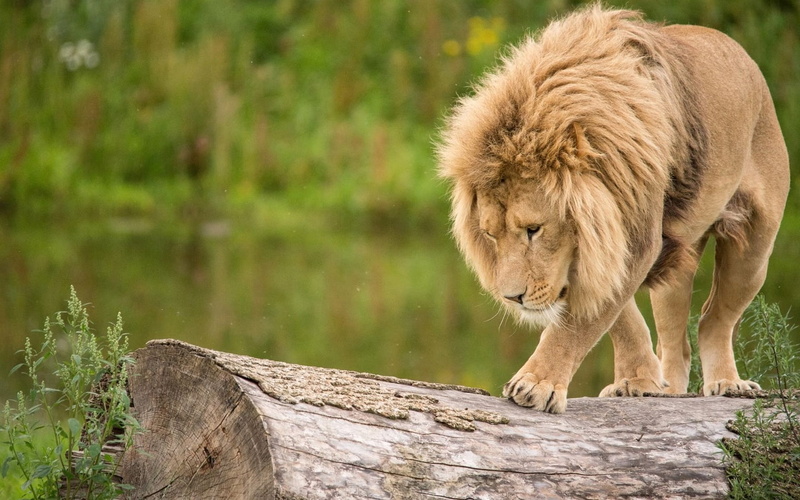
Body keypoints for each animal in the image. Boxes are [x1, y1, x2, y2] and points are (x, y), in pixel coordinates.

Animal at [437, 5, 789, 413]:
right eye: (491, 234)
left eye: (533, 229)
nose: (512, 298)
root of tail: (743, 55)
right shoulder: (609, 246)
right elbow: (618, 317)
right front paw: (639, 381)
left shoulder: (635, 239)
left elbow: (578, 323)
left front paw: (537, 384)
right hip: (676, 273)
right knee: (676, 338)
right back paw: (671, 388)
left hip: (754, 250)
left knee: (715, 319)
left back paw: (728, 383)